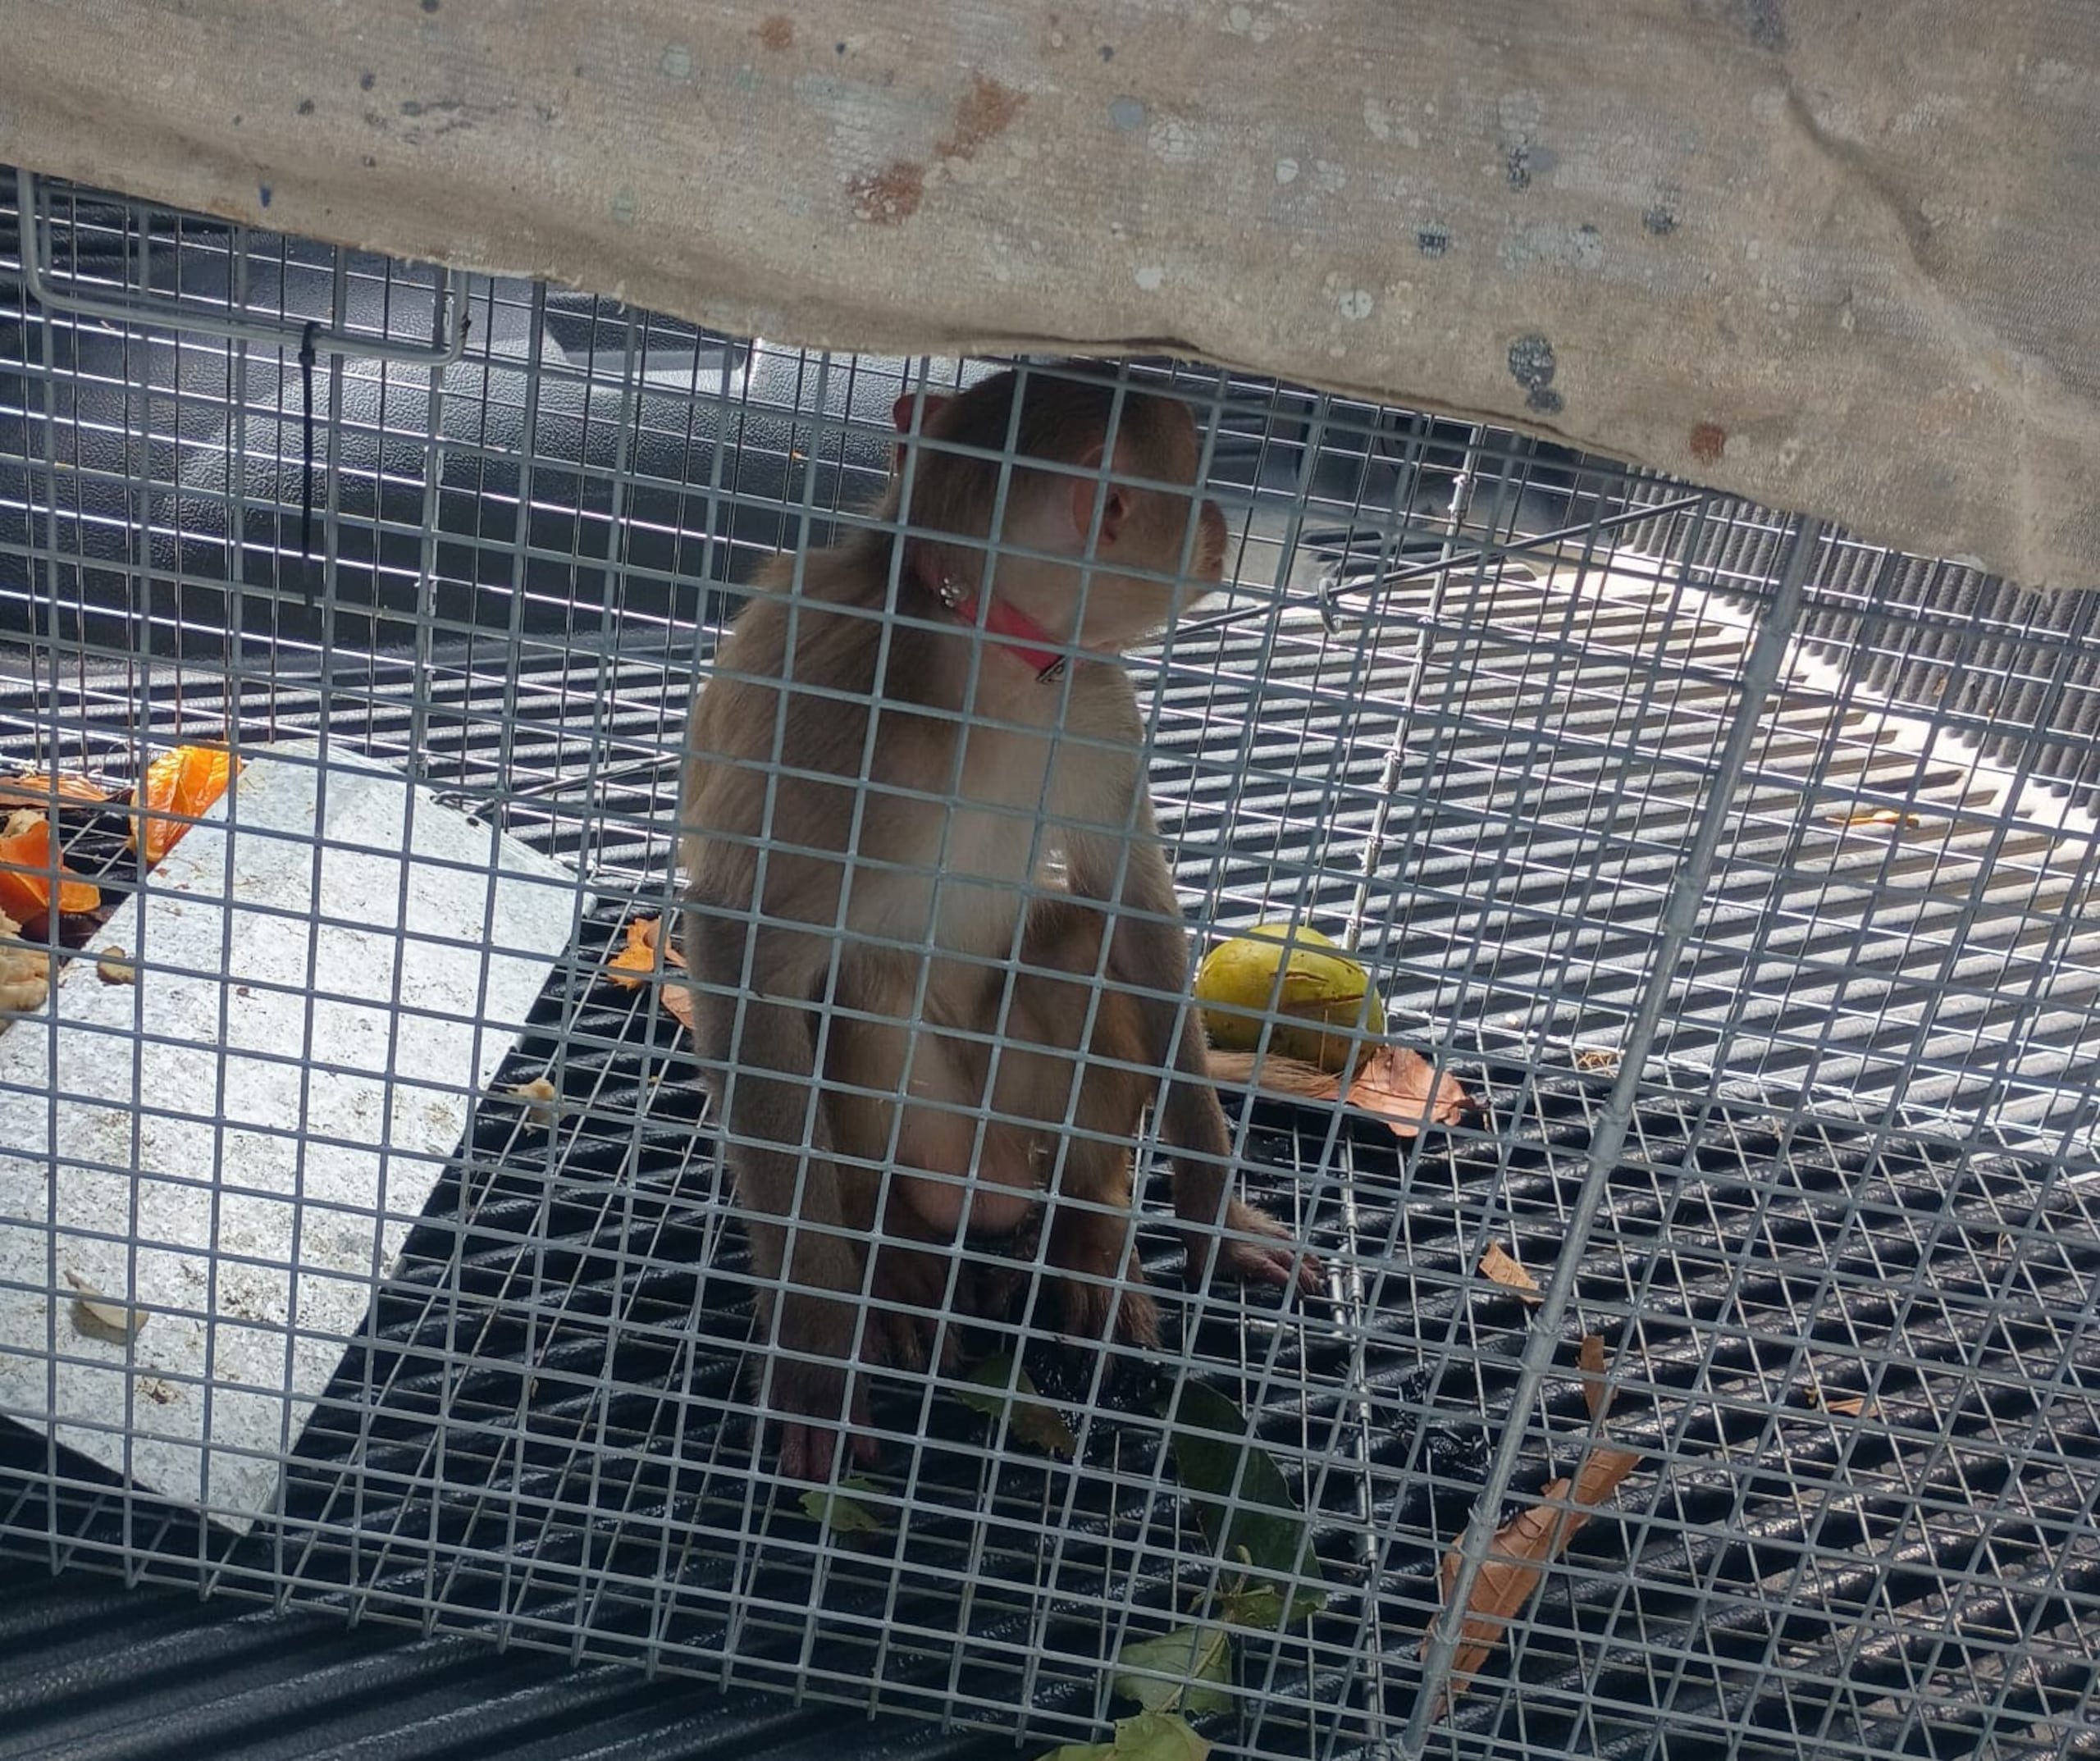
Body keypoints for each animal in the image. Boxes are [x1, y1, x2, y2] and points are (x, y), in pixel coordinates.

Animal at [680, 362, 1325, 1482]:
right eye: (1188, 484)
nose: (1215, 524)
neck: (988, 657)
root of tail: (990, 1190)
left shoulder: (1096, 706)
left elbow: (1135, 913)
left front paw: (1213, 1217)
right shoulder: (835, 711)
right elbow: (744, 948)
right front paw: (816, 1345)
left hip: (1023, 1120)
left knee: (1074, 950)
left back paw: (1085, 1230)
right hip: (933, 1129)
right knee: (842, 988)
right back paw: (891, 1250)